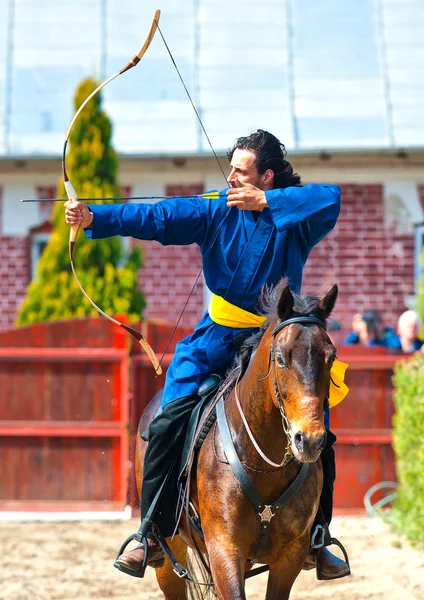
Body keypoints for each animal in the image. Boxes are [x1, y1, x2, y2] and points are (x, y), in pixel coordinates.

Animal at [134, 284, 340, 596]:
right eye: (281, 358)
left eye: (331, 357)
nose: (310, 440)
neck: (263, 465)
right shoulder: (225, 548)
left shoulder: (290, 556)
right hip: (171, 554)